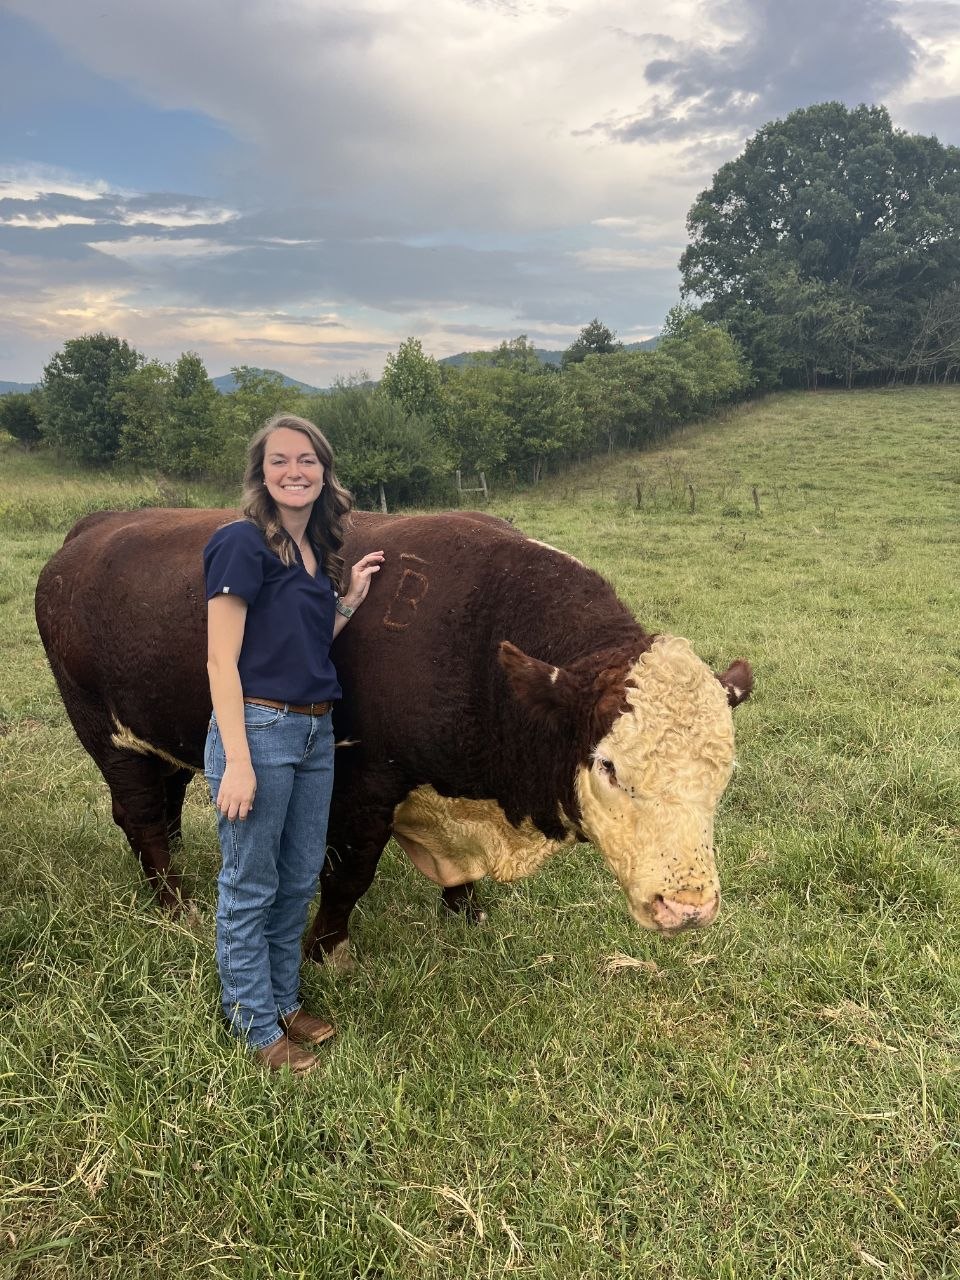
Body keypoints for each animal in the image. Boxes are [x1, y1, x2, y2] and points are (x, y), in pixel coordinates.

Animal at [35, 507, 752, 963]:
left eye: (722, 776)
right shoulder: (361, 788)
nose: (689, 905)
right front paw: (327, 951)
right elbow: (347, 876)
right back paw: (171, 899)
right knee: (138, 813)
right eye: (608, 768)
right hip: (102, 730)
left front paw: (466, 911)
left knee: (164, 800)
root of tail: (92, 527)